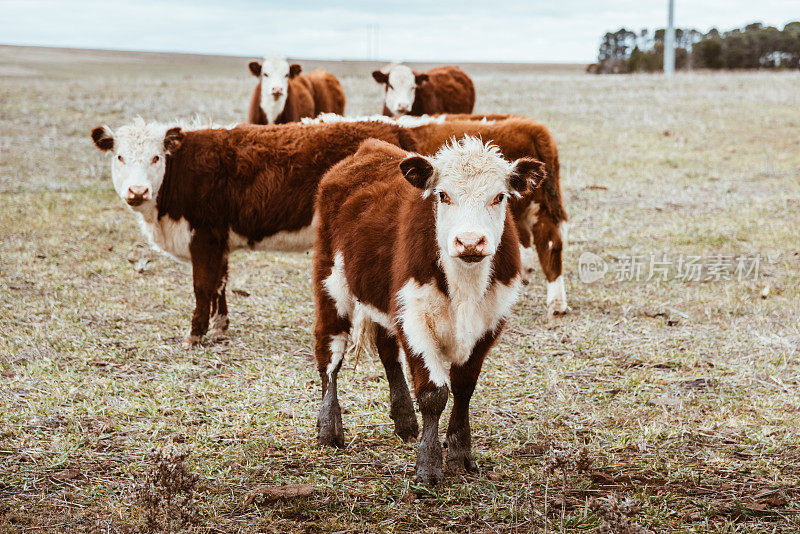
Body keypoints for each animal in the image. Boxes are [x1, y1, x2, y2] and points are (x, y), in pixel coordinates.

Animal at [90, 117, 416, 348]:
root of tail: (394, 131)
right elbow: (220, 284)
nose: (137, 191)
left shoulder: (204, 236)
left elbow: (202, 286)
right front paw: (219, 328)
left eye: (156, 157)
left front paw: (194, 334)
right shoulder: (218, 241)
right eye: (119, 157)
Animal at [312, 137, 544, 486]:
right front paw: (429, 466)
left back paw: (405, 420)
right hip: (332, 284)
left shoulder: (490, 323)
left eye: (499, 196)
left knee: (387, 351)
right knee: (329, 352)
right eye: (443, 194)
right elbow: (434, 394)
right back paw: (329, 428)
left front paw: (460, 454)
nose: (470, 241)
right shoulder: (416, 319)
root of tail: (368, 149)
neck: (464, 285)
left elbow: (464, 387)